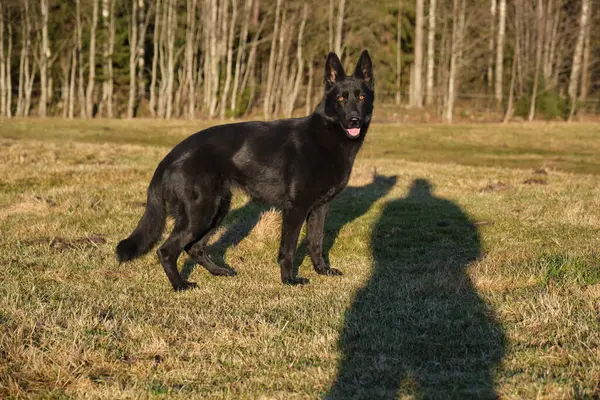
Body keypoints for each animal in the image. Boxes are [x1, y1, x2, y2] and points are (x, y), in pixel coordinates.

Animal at [115, 50, 372, 290]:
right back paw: (180, 285)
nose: (354, 121)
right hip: (200, 213)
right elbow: (288, 249)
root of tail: (171, 155)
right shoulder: (296, 209)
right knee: (167, 250)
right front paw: (288, 280)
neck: (327, 134)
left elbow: (316, 243)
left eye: (360, 96)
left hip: (217, 211)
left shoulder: (319, 208)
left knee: (194, 248)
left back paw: (219, 271)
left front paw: (322, 271)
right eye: (341, 98)